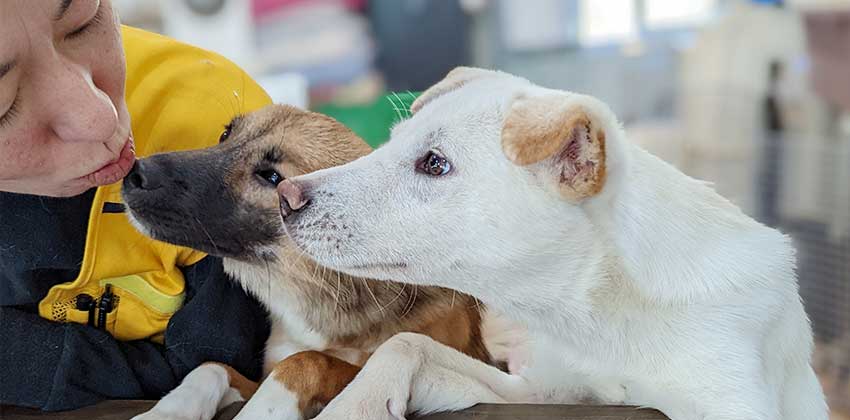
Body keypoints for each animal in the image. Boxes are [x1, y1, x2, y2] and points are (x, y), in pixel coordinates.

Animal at [278, 67, 828, 418]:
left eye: (434, 163)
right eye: (391, 141)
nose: (285, 197)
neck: (603, 312)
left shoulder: (736, 403)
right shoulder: (535, 392)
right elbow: (405, 342)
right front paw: (354, 406)